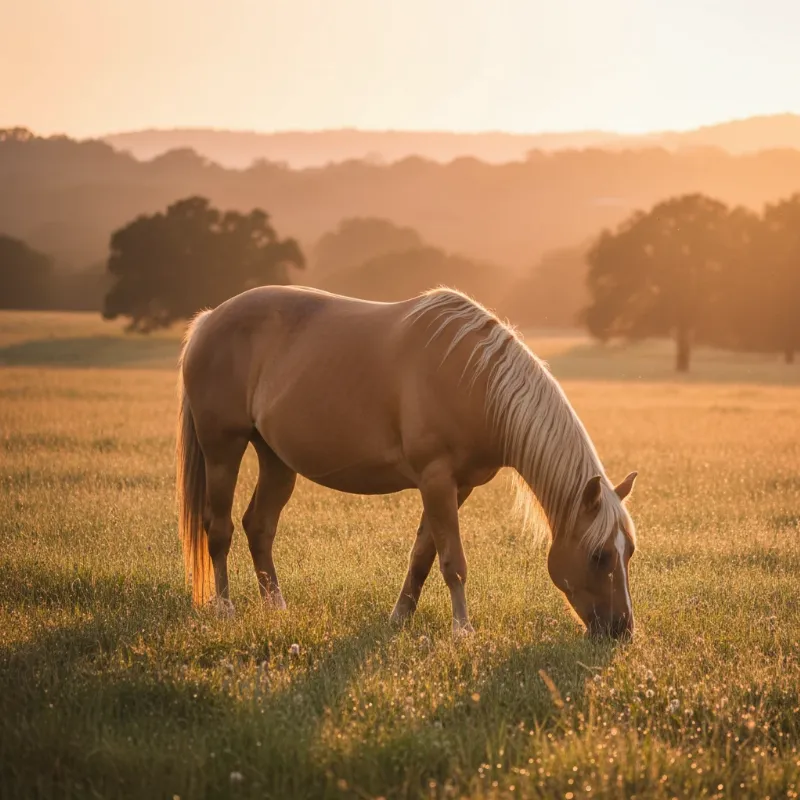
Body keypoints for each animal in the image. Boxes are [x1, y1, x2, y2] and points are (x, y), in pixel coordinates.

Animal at [177, 285, 638, 638]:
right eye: (599, 555)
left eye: (629, 552)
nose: (622, 630)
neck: (475, 380)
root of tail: (209, 319)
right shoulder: (436, 480)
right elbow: (452, 561)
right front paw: (463, 631)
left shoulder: (458, 486)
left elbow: (423, 555)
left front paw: (399, 618)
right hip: (223, 449)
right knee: (219, 528)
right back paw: (224, 608)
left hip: (276, 459)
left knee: (259, 526)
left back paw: (276, 606)